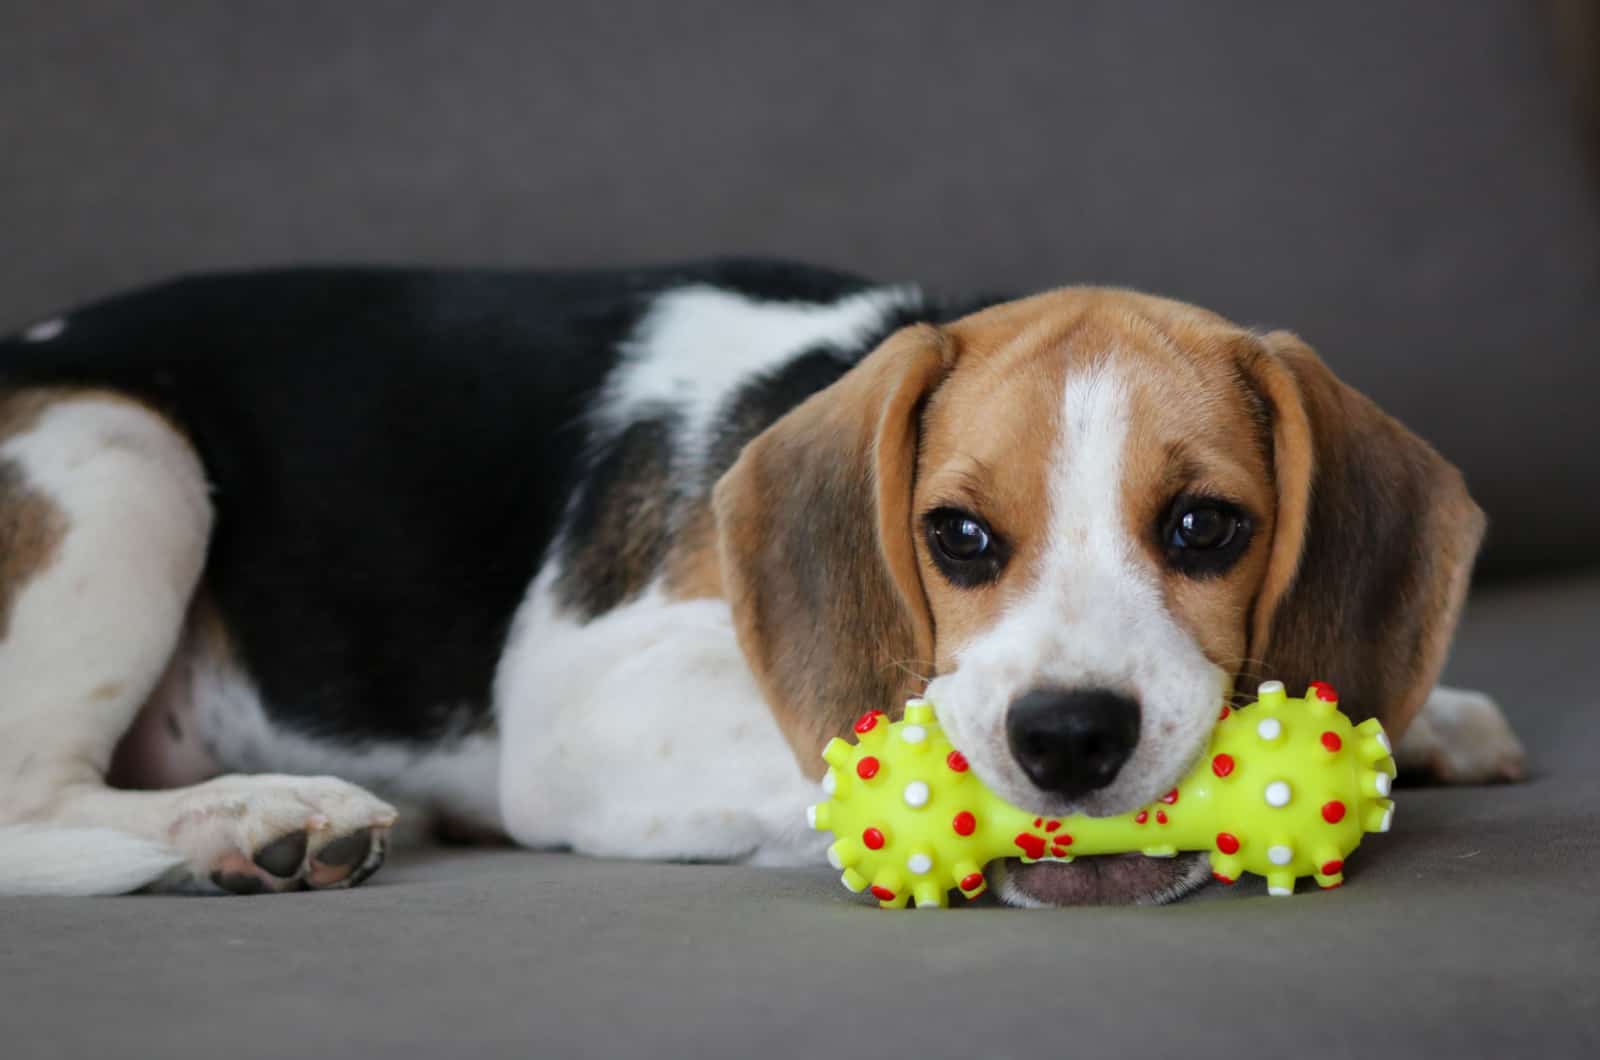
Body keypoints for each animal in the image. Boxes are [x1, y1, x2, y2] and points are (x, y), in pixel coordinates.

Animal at [0, 260, 1523, 903]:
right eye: (957, 537)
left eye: (1207, 526)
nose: (1071, 739)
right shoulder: (585, 703)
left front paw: (1431, 715)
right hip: (120, 452)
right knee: (33, 802)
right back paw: (252, 817)